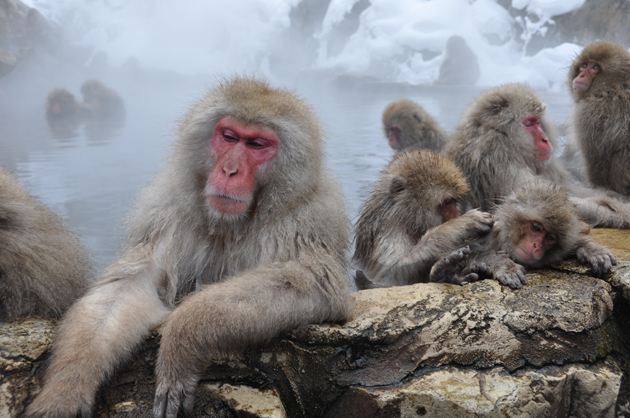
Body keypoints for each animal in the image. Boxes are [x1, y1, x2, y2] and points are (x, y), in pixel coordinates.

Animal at [25, 76, 356, 418]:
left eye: (257, 145)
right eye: (229, 137)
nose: (229, 170)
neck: (231, 224)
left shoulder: (311, 217)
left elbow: (313, 282)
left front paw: (181, 338)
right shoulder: (163, 208)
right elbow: (129, 286)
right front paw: (66, 387)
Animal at [356, 149, 494, 290]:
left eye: (454, 202)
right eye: (447, 202)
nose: (455, 216)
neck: (407, 220)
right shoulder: (390, 227)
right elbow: (387, 274)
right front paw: (461, 225)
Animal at [432, 181, 620, 290]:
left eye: (550, 237)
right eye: (536, 228)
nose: (536, 245)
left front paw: (591, 249)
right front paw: (503, 264)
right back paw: (446, 273)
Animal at [444, 82, 630, 229]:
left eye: (538, 121)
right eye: (529, 123)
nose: (545, 139)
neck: (506, 142)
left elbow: (567, 187)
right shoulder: (499, 163)